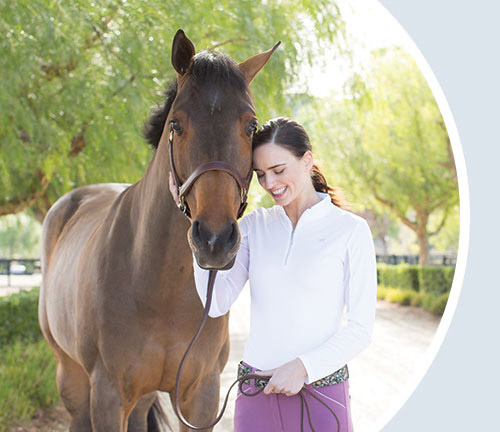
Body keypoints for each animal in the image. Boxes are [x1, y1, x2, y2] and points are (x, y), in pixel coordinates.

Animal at [39, 28, 280, 430]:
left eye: (251, 126)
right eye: (176, 124)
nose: (214, 240)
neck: (161, 290)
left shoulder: (200, 394)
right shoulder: (108, 395)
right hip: (70, 376)